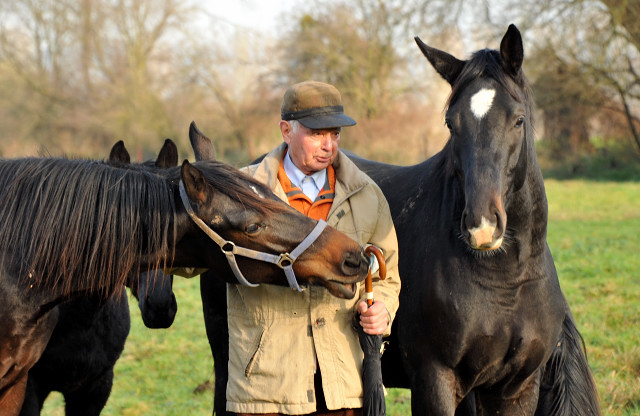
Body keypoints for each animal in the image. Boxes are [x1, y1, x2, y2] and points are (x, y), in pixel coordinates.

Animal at [344, 24, 600, 414]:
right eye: (451, 124)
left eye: (519, 120)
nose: (482, 226)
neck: (506, 282)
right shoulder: (436, 382)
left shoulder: (516, 388)